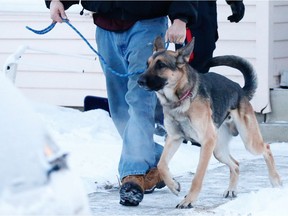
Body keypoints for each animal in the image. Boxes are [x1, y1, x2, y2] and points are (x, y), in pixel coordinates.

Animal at [137, 36, 282, 208]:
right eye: (147, 64)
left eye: (161, 65)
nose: (139, 81)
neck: (180, 99)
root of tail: (240, 89)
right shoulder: (174, 138)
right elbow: (161, 165)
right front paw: (173, 186)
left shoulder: (206, 142)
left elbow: (198, 176)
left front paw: (189, 200)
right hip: (218, 150)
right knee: (236, 164)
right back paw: (231, 189)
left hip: (248, 142)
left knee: (266, 148)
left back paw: (276, 181)